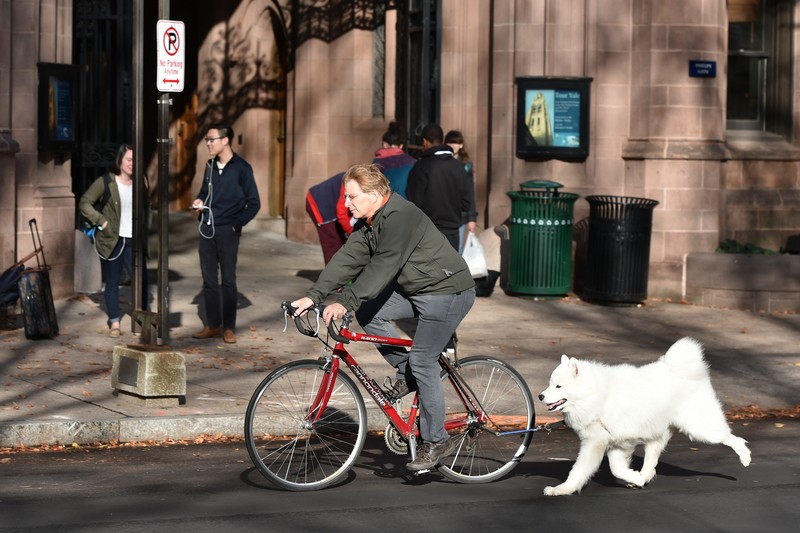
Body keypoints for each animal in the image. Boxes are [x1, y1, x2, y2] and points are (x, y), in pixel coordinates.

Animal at [536, 336, 752, 494]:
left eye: (558, 386)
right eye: (550, 384)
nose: (540, 396)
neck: (598, 396)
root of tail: (680, 370)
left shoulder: (600, 444)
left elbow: (580, 470)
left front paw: (561, 489)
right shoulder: (615, 444)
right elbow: (616, 468)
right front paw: (636, 478)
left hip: (699, 428)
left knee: (731, 437)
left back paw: (745, 457)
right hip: (657, 436)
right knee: (652, 463)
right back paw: (644, 477)